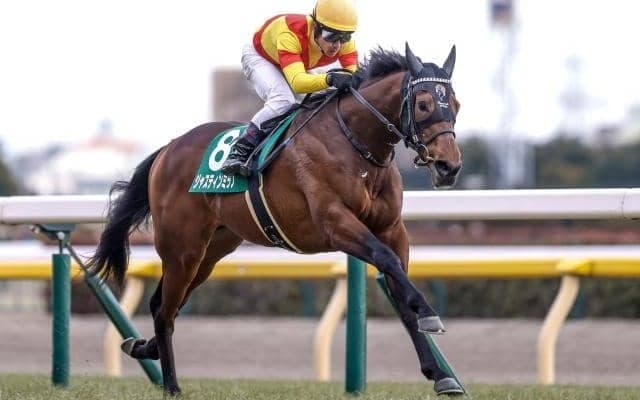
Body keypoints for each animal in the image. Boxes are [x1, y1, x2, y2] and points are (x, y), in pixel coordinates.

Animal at [88, 43, 463, 396]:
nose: (449, 166)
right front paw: (429, 313)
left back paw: (141, 346)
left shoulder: (391, 229)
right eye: (424, 104)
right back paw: (171, 385)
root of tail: (168, 149)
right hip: (182, 248)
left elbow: (400, 291)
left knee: (165, 304)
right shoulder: (335, 223)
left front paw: (441, 376)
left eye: (456, 104)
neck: (357, 146)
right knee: (165, 311)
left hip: (211, 252)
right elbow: (389, 264)